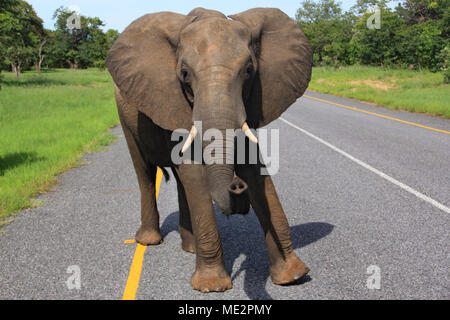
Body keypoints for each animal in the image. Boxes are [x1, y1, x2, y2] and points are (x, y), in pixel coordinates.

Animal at [105, 6, 312, 292]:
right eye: (184, 74)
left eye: (249, 70)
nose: (236, 185)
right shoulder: (172, 99)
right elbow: (194, 171)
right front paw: (212, 286)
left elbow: (254, 169)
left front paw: (294, 276)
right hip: (125, 116)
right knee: (144, 171)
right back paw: (149, 241)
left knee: (180, 182)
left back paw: (190, 247)